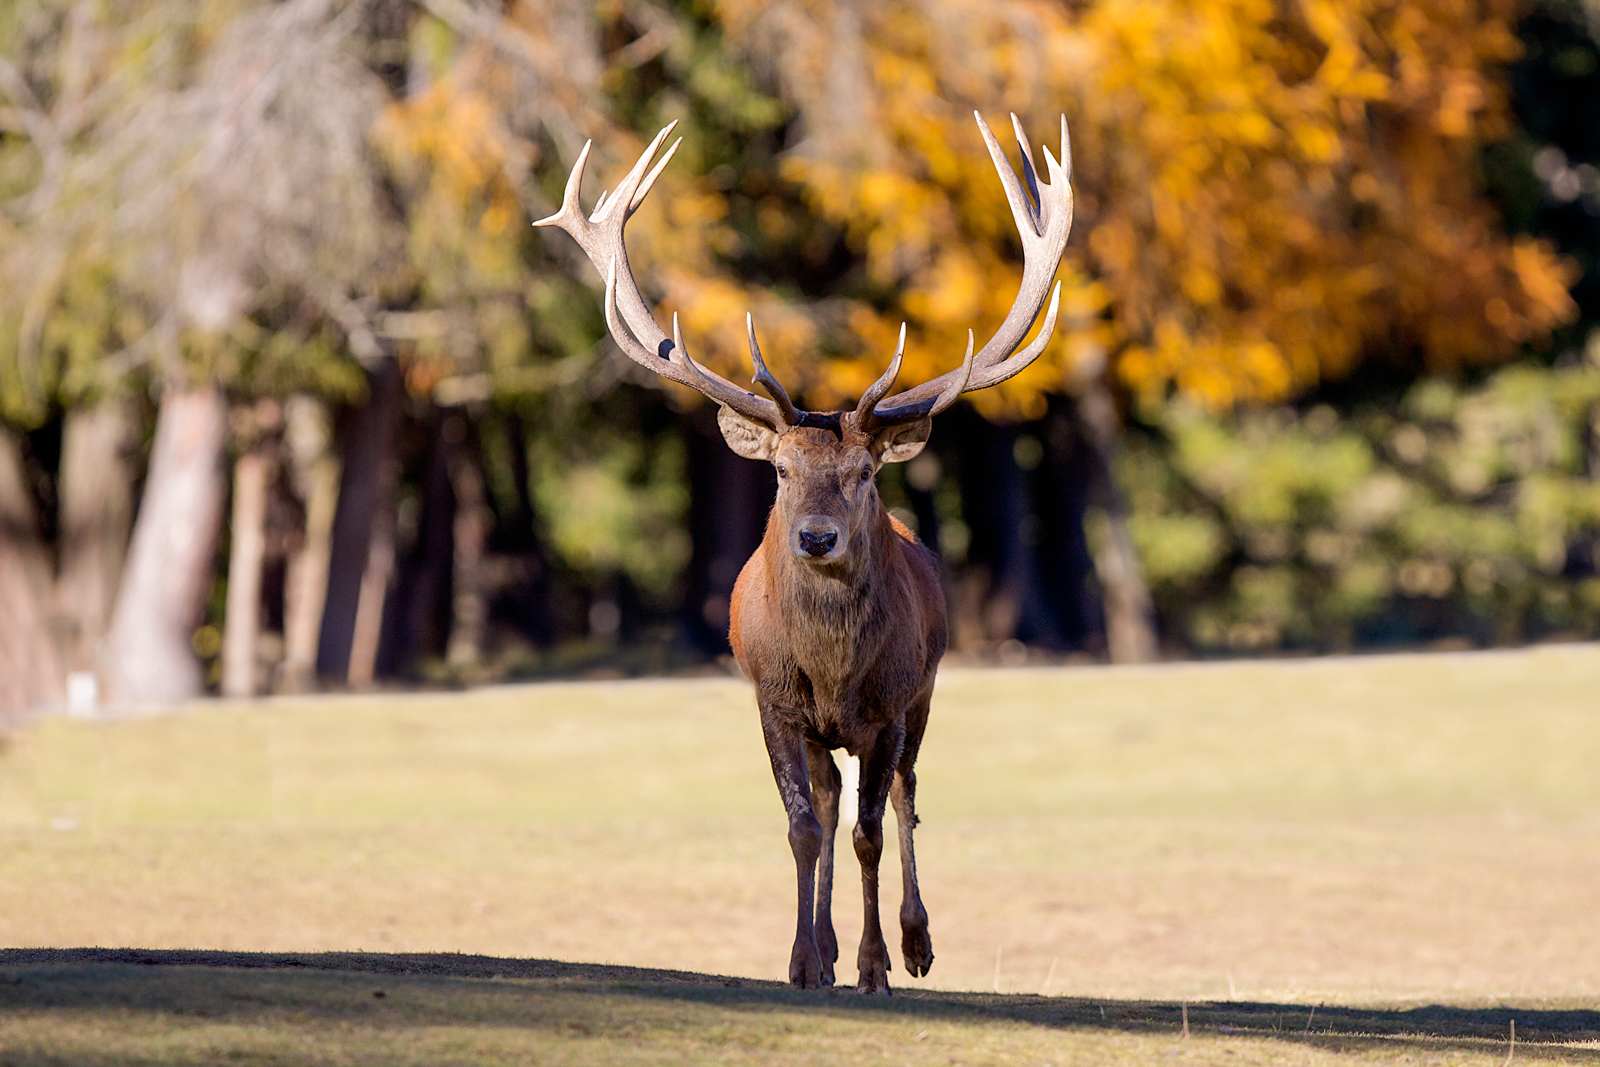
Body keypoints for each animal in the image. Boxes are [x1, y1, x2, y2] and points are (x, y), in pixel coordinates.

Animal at [535, 111, 1073, 994]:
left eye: (863, 473)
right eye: (782, 470)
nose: (817, 536)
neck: (831, 668)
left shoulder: (890, 703)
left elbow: (870, 829)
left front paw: (875, 964)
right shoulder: (775, 700)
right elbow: (803, 825)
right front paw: (803, 959)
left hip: (924, 693)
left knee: (903, 795)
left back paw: (916, 942)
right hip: (826, 726)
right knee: (829, 798)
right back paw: (824, 941)